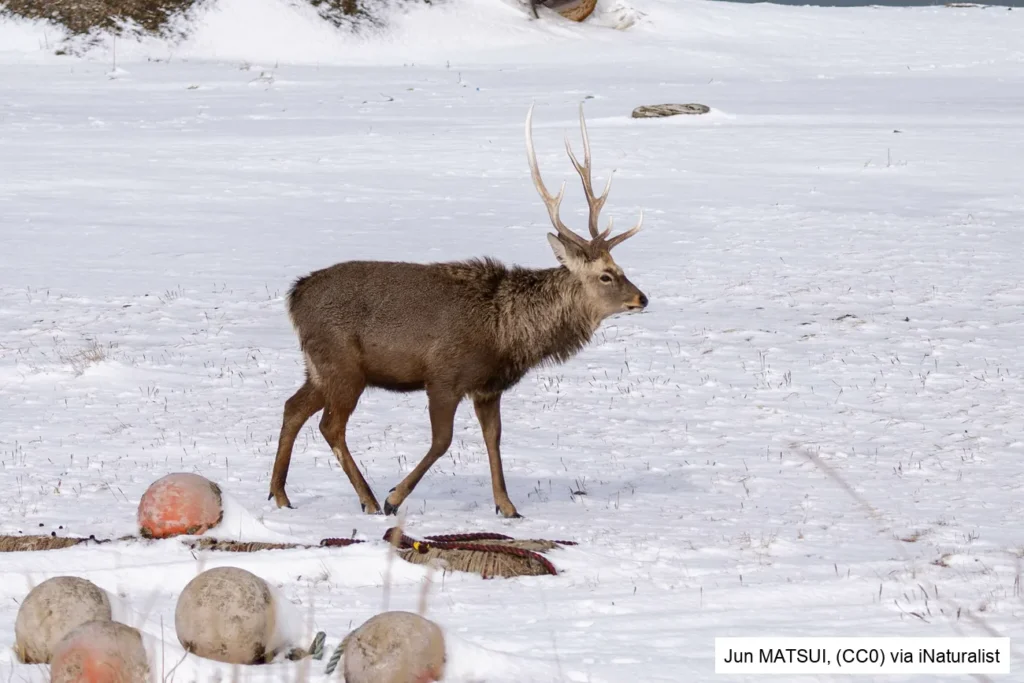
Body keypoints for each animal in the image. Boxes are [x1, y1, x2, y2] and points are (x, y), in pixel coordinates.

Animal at [268, 103, 648, 519]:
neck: (506, 332)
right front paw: (394, 497)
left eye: (620, 268)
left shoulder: (488, 387)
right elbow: (442, 441)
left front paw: (507, 506)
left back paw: (280, 495)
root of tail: (294, 296)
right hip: (342, 365)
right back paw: (367, 498)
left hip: (319, 368)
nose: (642, 298)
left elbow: (493, 439)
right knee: (330, 426)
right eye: (606, 275)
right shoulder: (443, 375)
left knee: (292, 408)